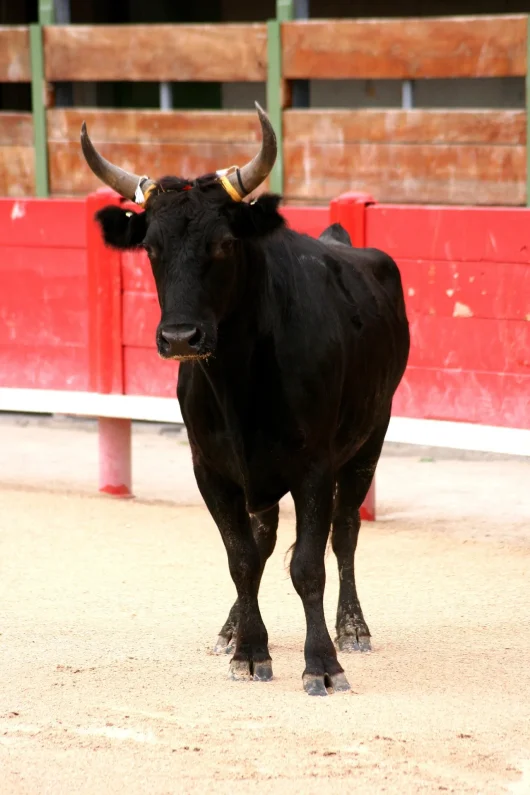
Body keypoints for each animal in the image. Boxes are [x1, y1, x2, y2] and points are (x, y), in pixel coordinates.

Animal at [96, 182, 408, 696]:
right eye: (150, 248)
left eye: (224, 243)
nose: (180, 337)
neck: (238, 379)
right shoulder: (210, 469)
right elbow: (241, 558)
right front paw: (248, 651)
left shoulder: (314, 468)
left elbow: (308, 564)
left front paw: (322, 665)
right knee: (262, 539)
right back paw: (231, 627)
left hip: (370, 438)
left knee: (345, 530)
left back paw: (353, 628)